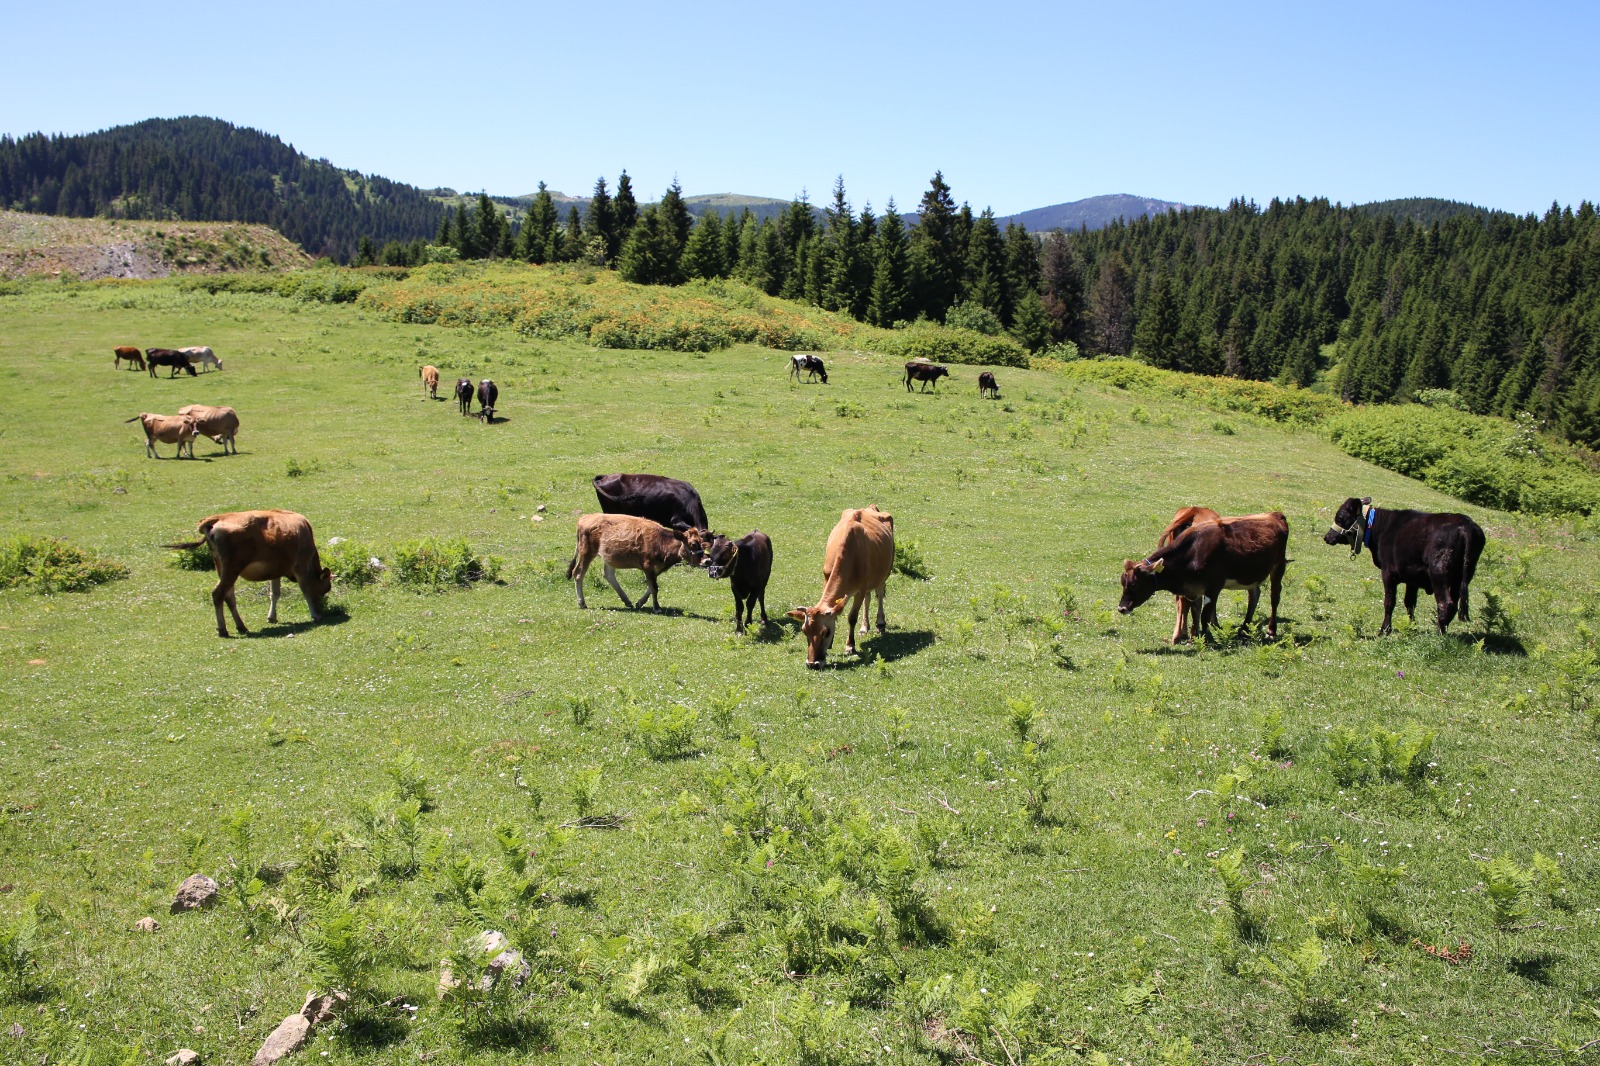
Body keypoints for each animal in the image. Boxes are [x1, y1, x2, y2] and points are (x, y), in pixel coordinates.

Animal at [168, 505, 331, 630]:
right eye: (325, 590)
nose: (323, 608)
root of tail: (217, 518)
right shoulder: (301, 566)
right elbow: (306, 590)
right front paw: (316, 615)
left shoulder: (277, 569)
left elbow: (275, 593)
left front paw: (272, 617)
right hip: (232, 567)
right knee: (218, 593)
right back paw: (223, 629)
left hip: (222, 567)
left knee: (229, 596)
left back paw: (241, 626)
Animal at [569, 512, 707, 611]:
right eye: (693, 544)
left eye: (702, 543)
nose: (707, 561)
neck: (661, 542)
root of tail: (585, 517)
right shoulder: (648, 566)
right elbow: (654, 587)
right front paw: (657, 608)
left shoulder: (656, 568)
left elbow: (650, 586)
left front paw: (640, 602)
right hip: (586, 552)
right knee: (578, 573)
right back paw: (582, 603)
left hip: (609, 557)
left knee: (608, 574)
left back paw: (627, 600)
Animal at [790, 505, 902, 665]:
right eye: (805, 631)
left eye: (826, 632)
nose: (813, 664)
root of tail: (871, 507)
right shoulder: (827, 578)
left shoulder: (860, 589)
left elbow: (852, 617)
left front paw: (850, 646)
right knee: (868, 598)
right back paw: (864, 627)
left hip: (885, 571)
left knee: (879, 593)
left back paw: (880, 623)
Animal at [1120, 508, 1292, 640]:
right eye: (1123, 583)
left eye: (1134, 584)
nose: (1121, 608)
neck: (1193, 552)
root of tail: (1275, 514)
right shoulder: (1193, 588)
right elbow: (1195, 612)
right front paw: (1194, 638)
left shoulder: (1213, 587)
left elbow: (1204, 615)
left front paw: (1206, 638)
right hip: (1251, 574)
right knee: (1254, 595)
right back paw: (1244, 629)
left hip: (1279, 565)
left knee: (1274, 597)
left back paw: (1271, 631)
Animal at [1324, 496, 1484, 633]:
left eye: (1340, 517)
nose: (1327, 537)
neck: (1381, 529)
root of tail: (1467, 525)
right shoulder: (1412, 577)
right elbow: (1410, 602)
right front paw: (1411, 627)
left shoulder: (1388, 573)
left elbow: (1389, 602)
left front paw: (1384, 630)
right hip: (1462, 577)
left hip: (1439, 574)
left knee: (1445, 604)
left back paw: (1439, 636)